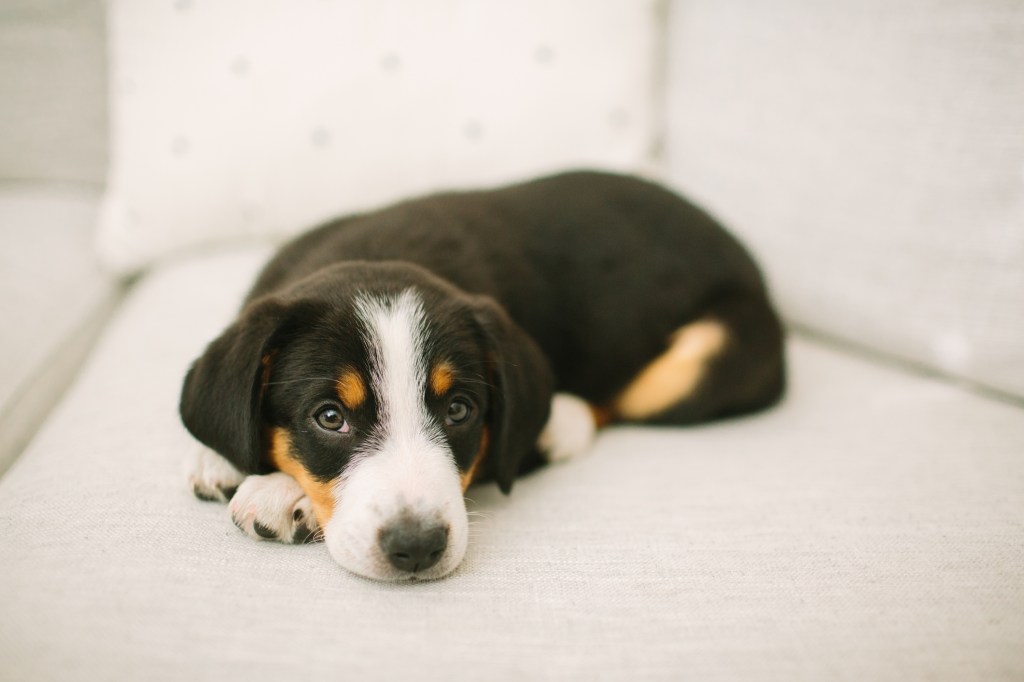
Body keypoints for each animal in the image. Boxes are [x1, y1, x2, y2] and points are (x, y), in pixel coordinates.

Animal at [180, 169, 782, 577]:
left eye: (459, 410)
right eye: (329, 417)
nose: (417, 548)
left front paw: (279, 492)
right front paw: (223, 456)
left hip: (706, 358)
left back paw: (566, 421)